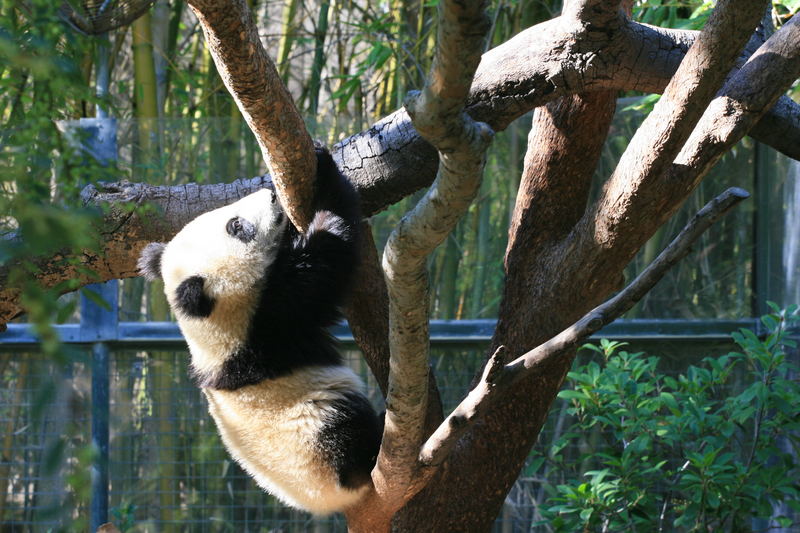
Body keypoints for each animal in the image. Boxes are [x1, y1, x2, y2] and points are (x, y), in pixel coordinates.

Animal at [137, 147, 382, 516]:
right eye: (236, 226)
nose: (270, 194)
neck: (215, 328)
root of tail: (331, 501)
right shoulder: (272, 321)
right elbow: (328, 256)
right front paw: (327, 169)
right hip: (318, 432)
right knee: (346, 430)